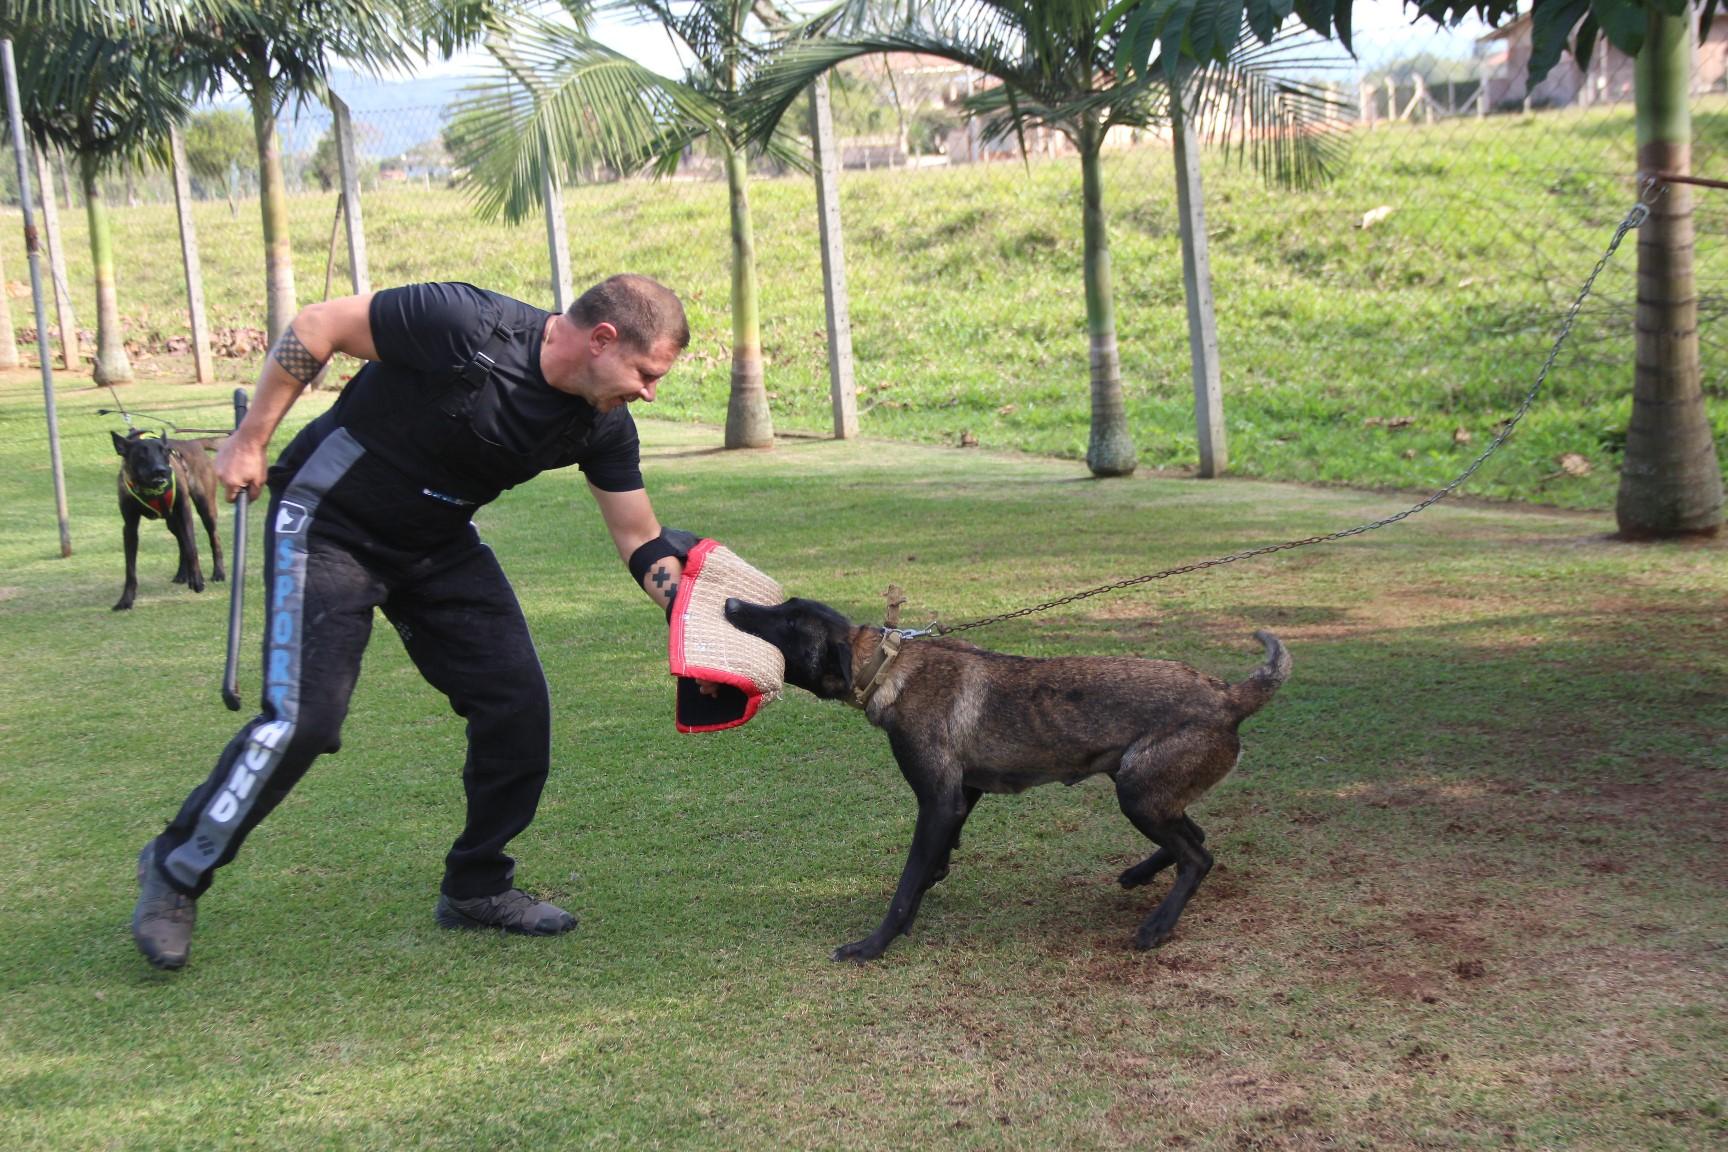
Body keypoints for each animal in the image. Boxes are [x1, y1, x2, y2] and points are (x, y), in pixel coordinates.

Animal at [110, 431, 222, 611]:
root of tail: (193, 443)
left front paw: (197, 580)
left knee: (213, 538)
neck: (151, 490)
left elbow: (192, 548)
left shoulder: (184, 511)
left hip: (205, 508)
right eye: (141, 454)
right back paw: (182, 574)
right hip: (172, 522)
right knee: (181, 542)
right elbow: (130, 569)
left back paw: (218, 573)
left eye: (165, 452)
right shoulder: (130, 527)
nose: (161, 470)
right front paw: (126, 600)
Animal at [722, 601, 1292, 960]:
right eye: (786, 605)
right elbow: (933, 863)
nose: (729, 602)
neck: (887, 667)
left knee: (1199, 855)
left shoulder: (939, 801)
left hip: (1138, 794)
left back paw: (1158, 924)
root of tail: (1228, 696)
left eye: (788, 620)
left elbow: (906, 885)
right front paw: (928, 887)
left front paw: (875, 944)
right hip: (1148, 789)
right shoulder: (962, 795)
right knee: (1195, 836)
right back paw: (1141, 874)